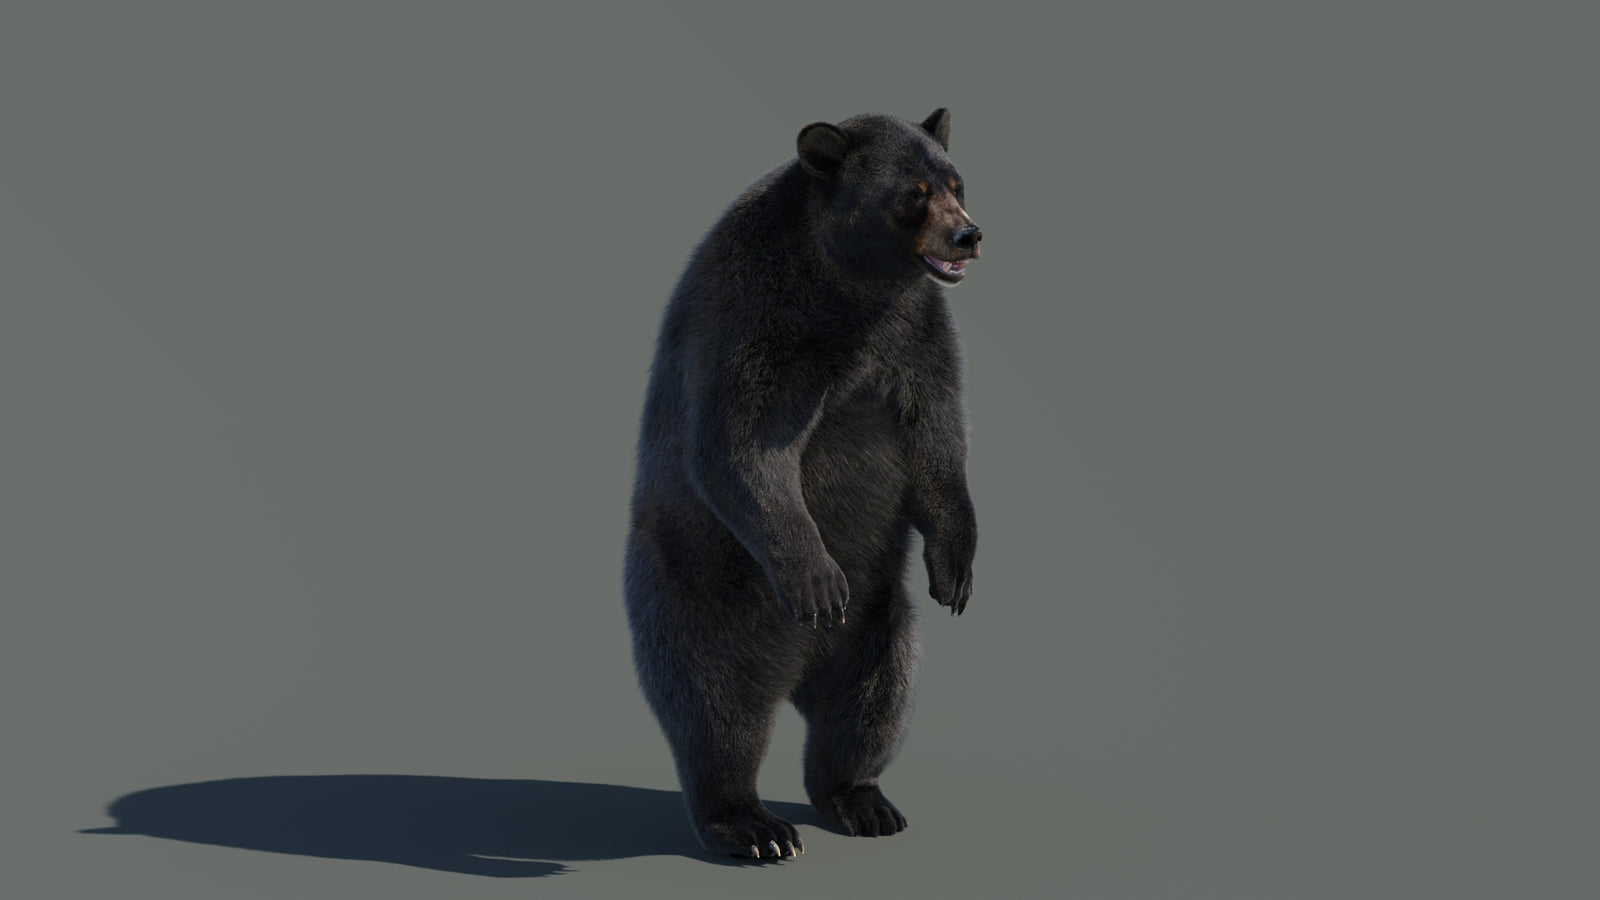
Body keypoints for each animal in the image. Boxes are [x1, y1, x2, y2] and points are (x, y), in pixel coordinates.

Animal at [623, 108, 981, 860]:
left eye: (956, 181)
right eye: (913, 192)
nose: (969, 233)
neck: (850, 284)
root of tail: (795, 673)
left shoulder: (913, 332)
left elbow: (938, 434)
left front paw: (955, 570)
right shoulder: (760, 318)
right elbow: (740, 444)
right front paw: (818, 579)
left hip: (880, 620)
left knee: (874, 699)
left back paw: (862, 800)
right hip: (701, 594)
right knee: (716, 708)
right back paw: (752, 825)